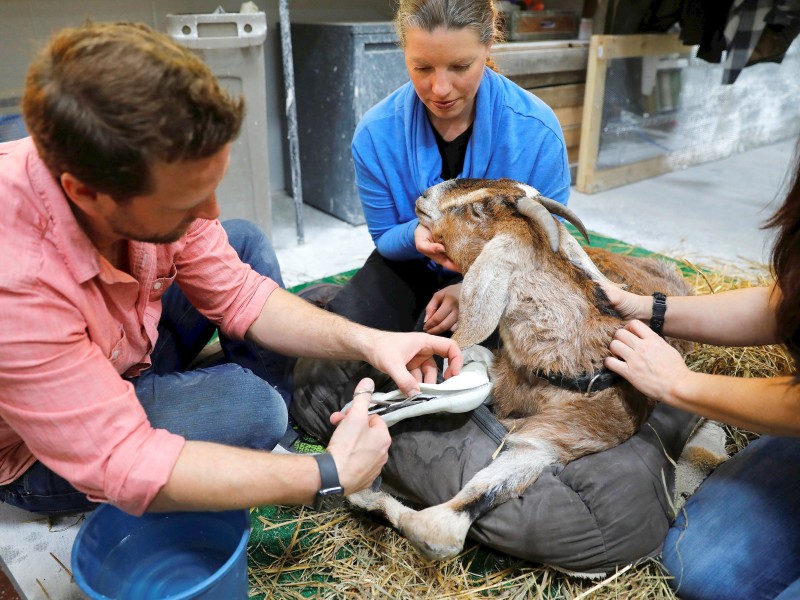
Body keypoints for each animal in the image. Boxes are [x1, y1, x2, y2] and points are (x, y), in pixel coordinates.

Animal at [346, 176, 692, 560]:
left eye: (476, 209)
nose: (425, 195)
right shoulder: (502, 373)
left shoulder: (547, 444)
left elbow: (440, 529)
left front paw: (363, 479)